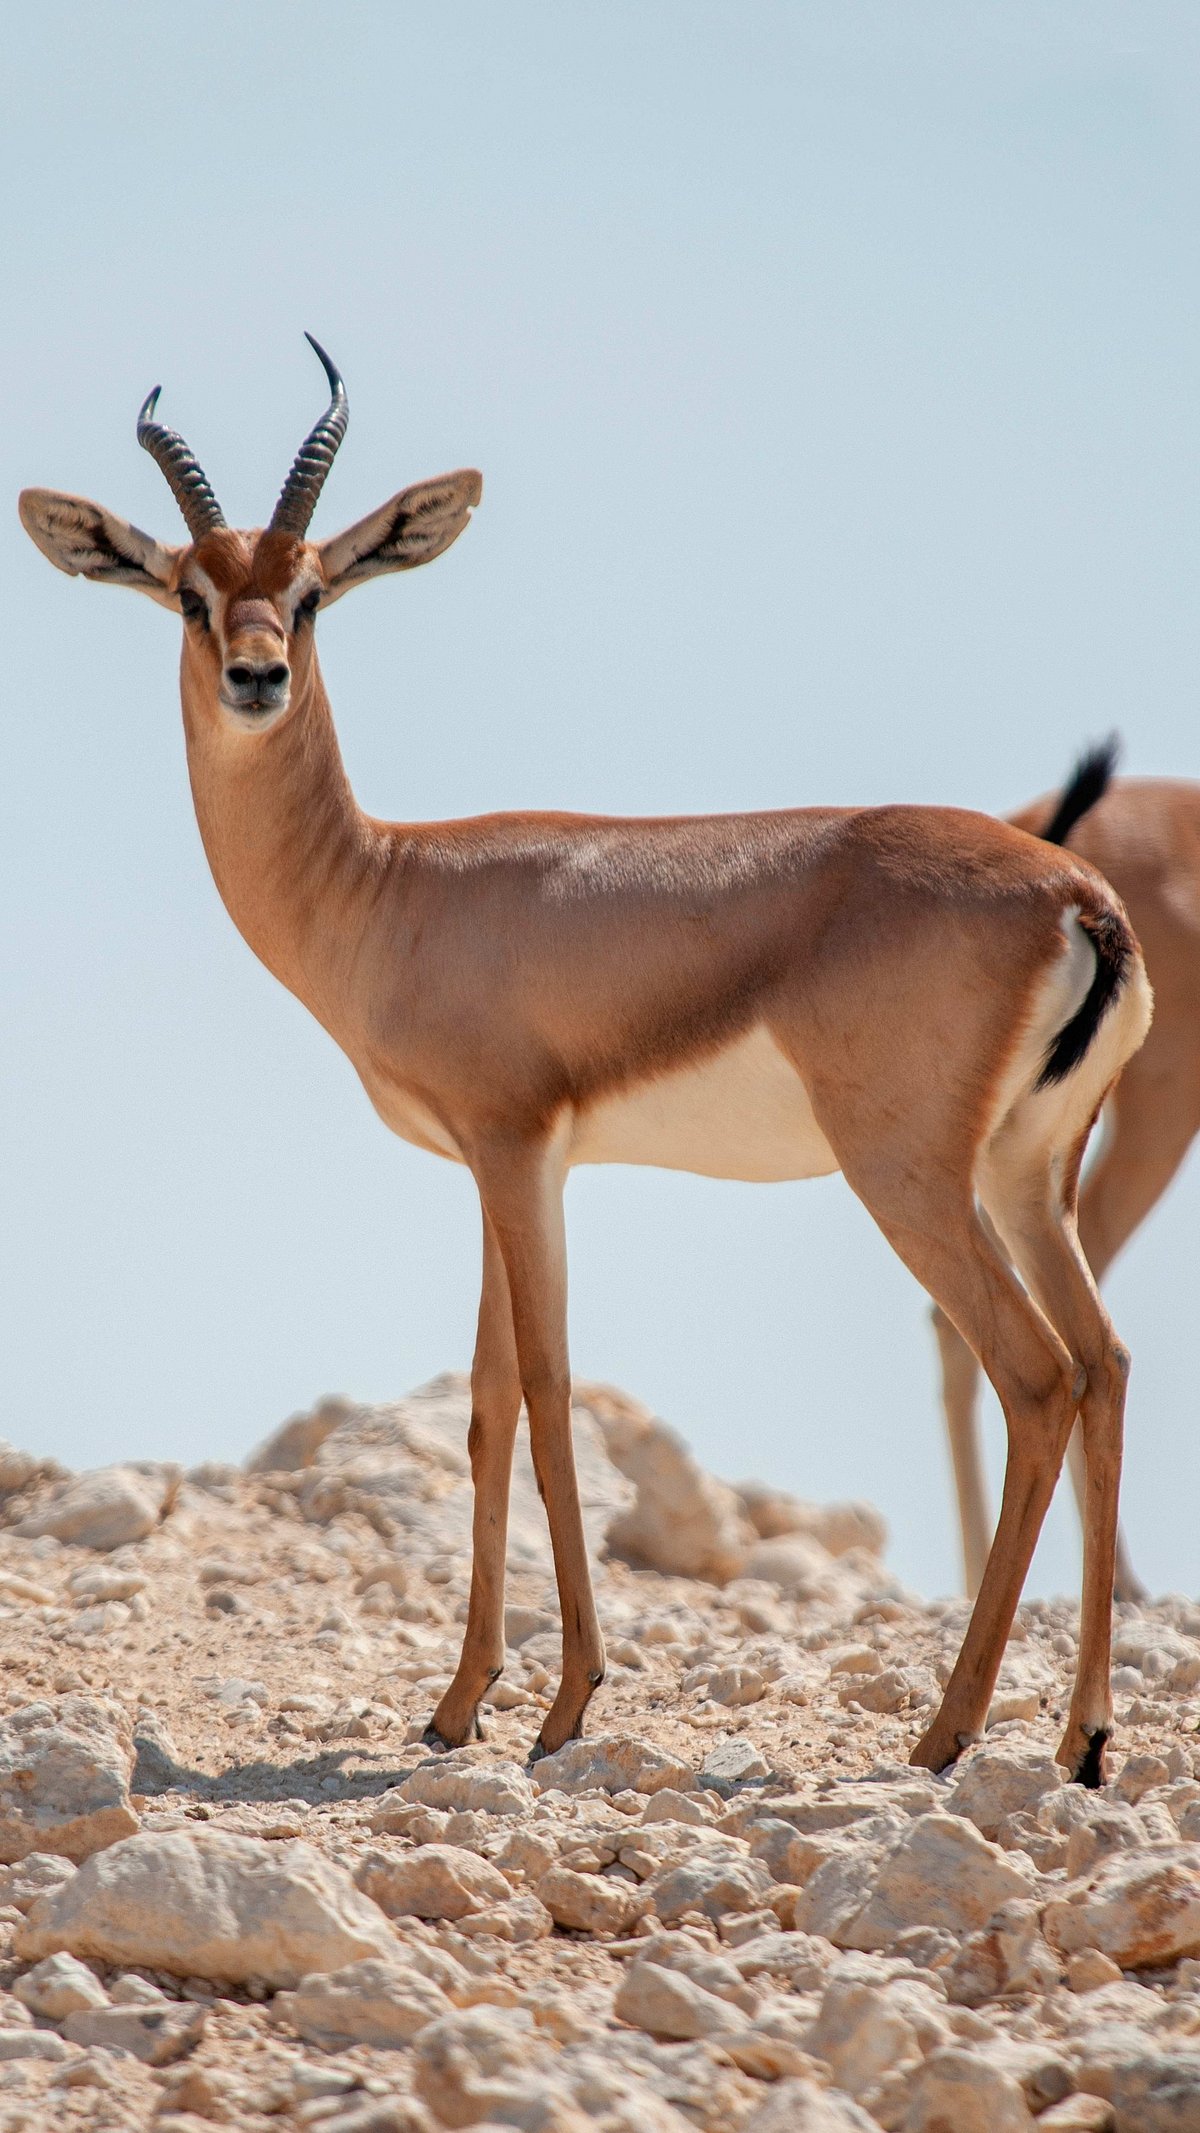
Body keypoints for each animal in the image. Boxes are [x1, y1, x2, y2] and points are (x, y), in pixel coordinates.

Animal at [20, 339, 1152, 1784]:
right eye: (187, 591)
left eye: (314, 592)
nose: (256, 678)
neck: (393, 886)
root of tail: (1079, 895)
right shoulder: (507, 1168)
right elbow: (489, 1401)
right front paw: (456, 1705)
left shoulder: (515, 1147)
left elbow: (552, 1394)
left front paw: (564, 1706)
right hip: (1025, 1174)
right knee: (1106, 1363)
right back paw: (1082, 1736)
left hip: (910, 1178)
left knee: (1036, 1376)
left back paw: (946, 1733)